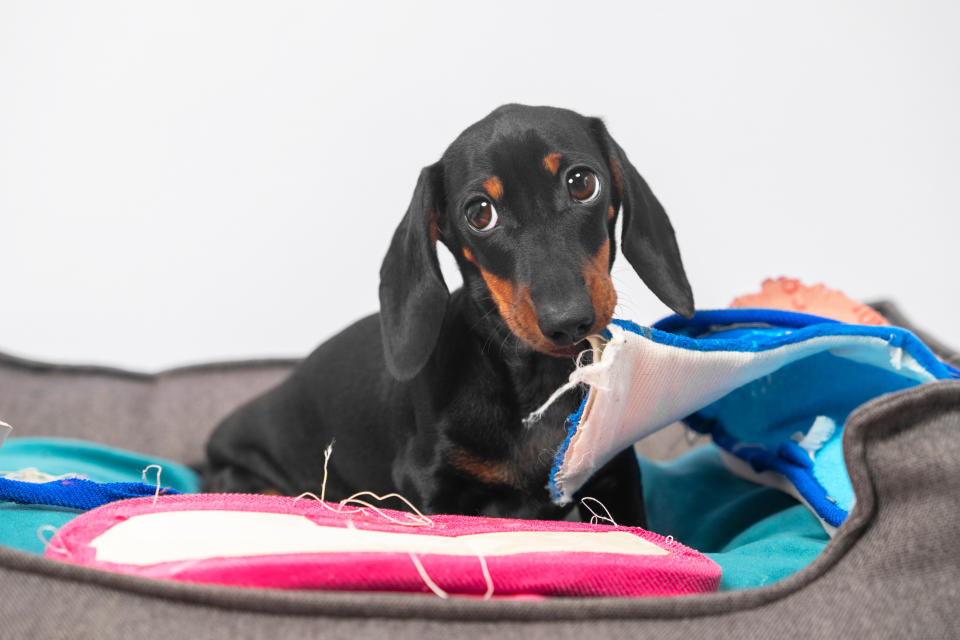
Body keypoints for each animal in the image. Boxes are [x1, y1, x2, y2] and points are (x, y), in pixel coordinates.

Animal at [206, 105, 692, 524]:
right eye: (479, 213)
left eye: (581, 182)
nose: (569, 321)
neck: (536, 385)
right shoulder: (429, 486)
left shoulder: (615, 475)